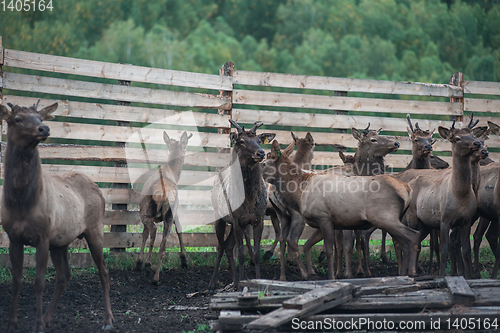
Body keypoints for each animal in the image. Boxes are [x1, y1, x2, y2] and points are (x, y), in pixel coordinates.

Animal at [0, 102, 112, 332]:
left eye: (39, 117)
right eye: (16, 119)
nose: (44, 128)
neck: (21, 202)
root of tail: (98, 189)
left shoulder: (42, 237)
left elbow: (39, 282)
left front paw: (37, 326)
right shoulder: (14, 237)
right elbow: (17, 281)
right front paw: (12, 323)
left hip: (95, 229)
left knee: (104, 271)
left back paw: (107, 320)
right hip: (60, 242)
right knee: (64, 276)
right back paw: (47, 318)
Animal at [135, 131, 191, 284]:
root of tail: (163, 195)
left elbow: (144, 234)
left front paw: (139, 262)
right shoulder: (175, 211)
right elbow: (179, 228)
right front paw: (184, 259)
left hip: (145, 211)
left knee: (154, 231)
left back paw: (148, 265)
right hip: (168, 214)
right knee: (163, 244)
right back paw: (155, 277)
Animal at [208, 120, 276, 290]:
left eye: (259, 140)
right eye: (242, 141)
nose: (261, 153)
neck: (249, 199)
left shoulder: (257, 220)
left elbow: (256, 254)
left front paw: (258, 282)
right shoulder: (237, 220)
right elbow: (241, 254)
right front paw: (241, 286)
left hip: (235, 223)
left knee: (228, 246)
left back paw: (236, 281)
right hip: (219, 217)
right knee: (221, 246)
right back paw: (213, 283)